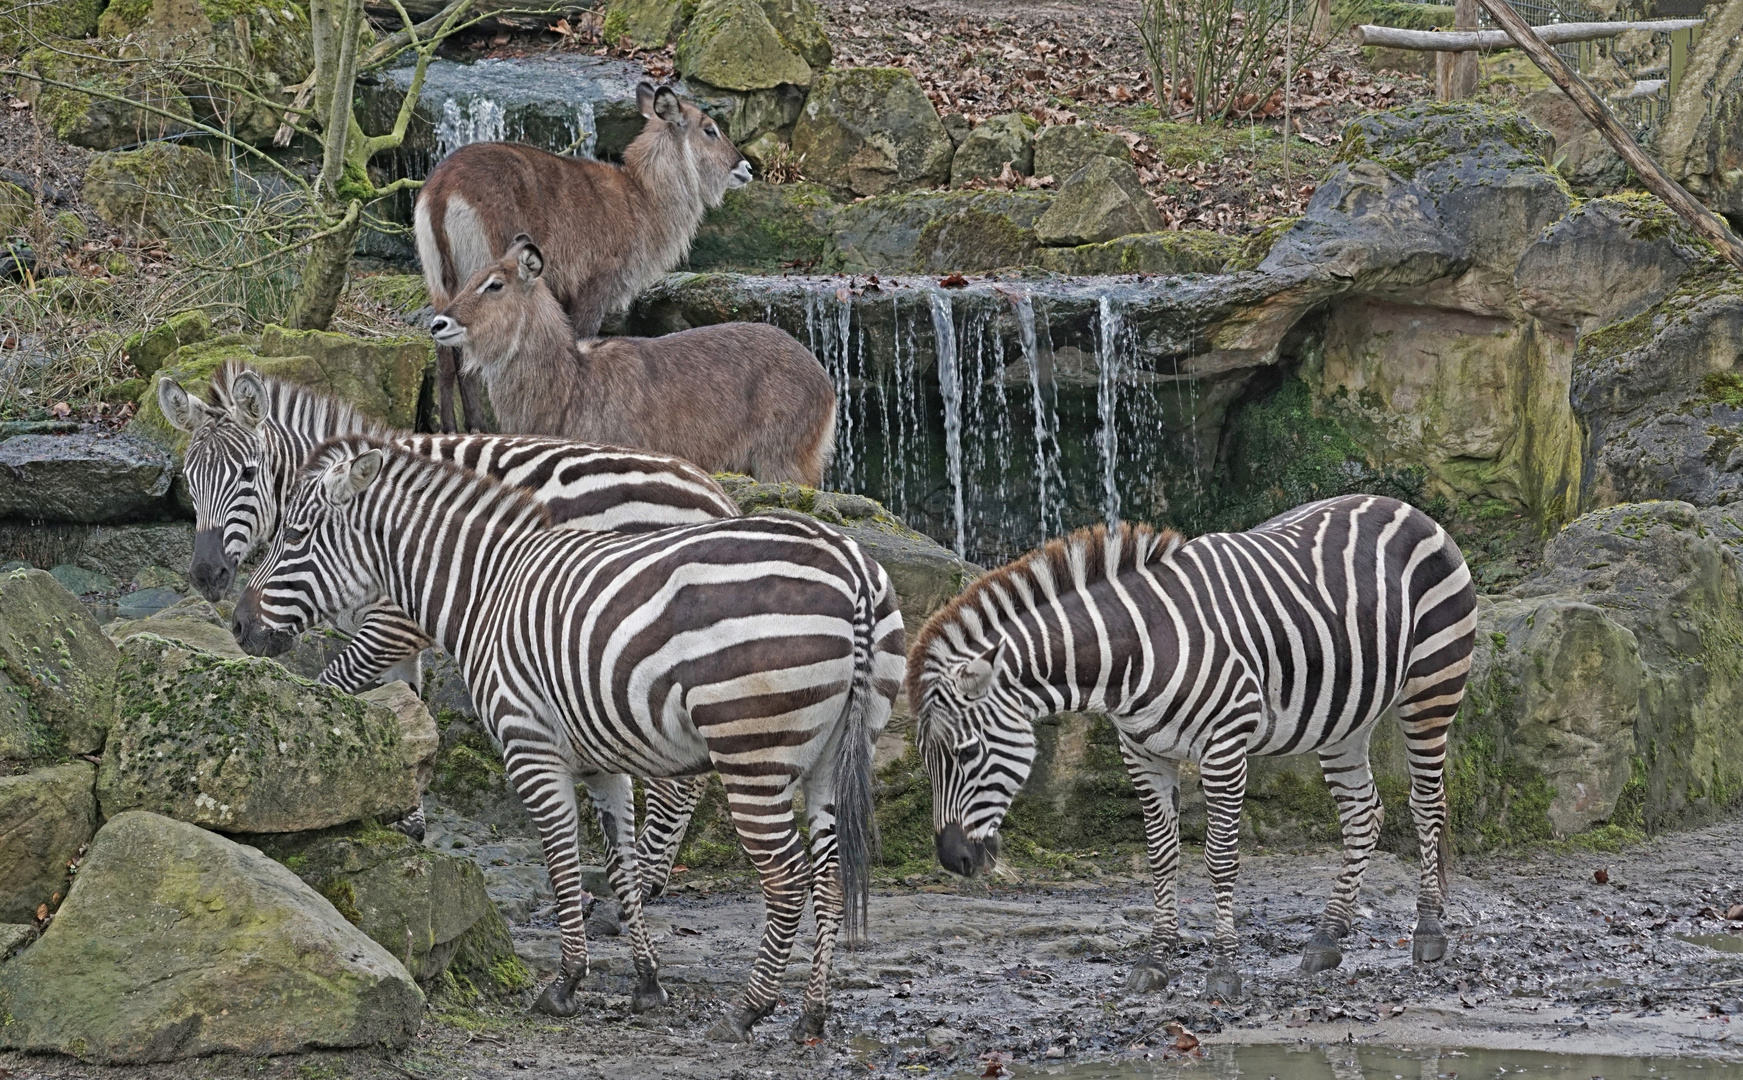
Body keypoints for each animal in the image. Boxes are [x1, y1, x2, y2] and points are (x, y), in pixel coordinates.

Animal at [156, 358, 735, 891]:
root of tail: (715, 493)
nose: (206, 575)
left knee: (680, 777)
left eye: (248, 475)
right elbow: (407, 707)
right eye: (189, 480)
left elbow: (334, 687)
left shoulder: (393, 623)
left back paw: (646, 880)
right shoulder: (400, 633)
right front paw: (405, 810)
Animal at [231, 433, 906, 1045]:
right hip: (832, 755)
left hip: (751, 751)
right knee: (828, 878)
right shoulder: (605, 761)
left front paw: (566, 984)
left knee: (788, 880)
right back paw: (811, 1015)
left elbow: (561, 861)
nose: (237, 626)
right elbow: (621, 864)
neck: (487, 589)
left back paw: (748, 1010)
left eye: (295, 535)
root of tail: (851, 565)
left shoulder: (528, 745)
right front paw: (646, 983)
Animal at [420, 242, 829, 487]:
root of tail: (824, 379)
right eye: (471, 278)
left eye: (495, 284)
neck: (571, 384)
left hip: (782, 462)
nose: (438, 323)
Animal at [421, 82, 756, 432]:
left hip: (441, 285)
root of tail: (443, 188)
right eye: (710, 129)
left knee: (445, 355)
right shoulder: (595, 286)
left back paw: (454, 427)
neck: (642, 198)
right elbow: (581, 340)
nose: (746, 168)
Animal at [906, 494, 1478, 996]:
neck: (1136, 650)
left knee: (1427, 804)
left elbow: (1220, 857)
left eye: (966, 753)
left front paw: (1223, 969)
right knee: (1363, 813)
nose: (952, 860)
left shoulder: (1224, 746)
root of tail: (1401, 505)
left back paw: (1428, 931)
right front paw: (1156, 959)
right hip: (1345, 714)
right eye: (926, 765)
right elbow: (1162, 856)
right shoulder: (1141, 753)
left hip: (1432, 686)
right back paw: (1326, 936)